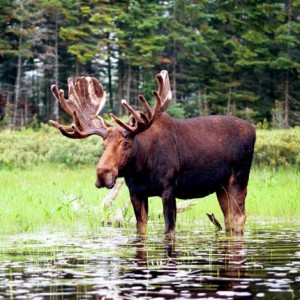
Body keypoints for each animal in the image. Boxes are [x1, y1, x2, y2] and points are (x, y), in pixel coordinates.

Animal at [49, 71, 255, 237]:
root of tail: (253, 130)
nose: (102, 174)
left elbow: (169, 230)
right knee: (228, 219)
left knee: (239, 217)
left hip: (239, 179)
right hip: (221, 187)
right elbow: (141, 230)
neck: (141, 169)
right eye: (103, 144)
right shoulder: (136, 192)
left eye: (125, 143)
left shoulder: (169, 188)